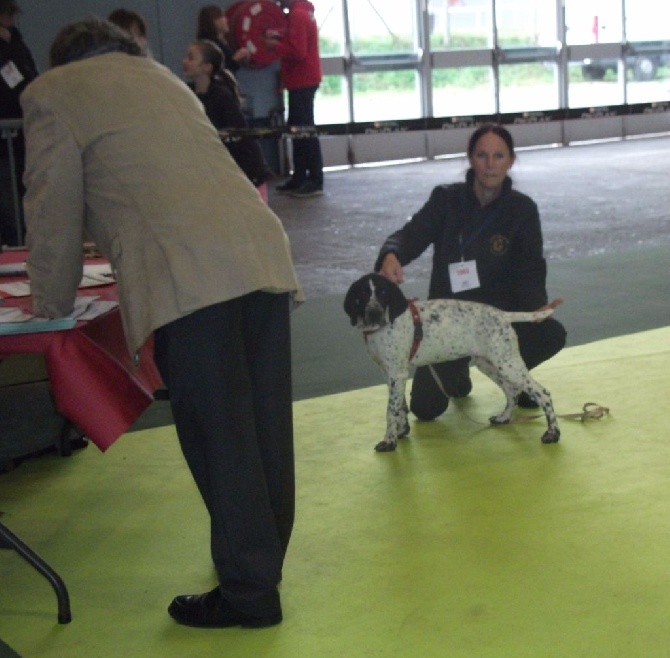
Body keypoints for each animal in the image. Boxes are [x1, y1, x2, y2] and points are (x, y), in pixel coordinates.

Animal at [346, 272, 560, 452]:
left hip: (507, 365)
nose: (374, 313)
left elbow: (390, 411)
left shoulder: (396, 374)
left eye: (383, 293)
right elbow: (399, 407)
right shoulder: (392, 375)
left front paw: (389, 442)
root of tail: (502, 314)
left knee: (543, 393)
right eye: (363, 293)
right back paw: (503, 417)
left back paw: (552, 433)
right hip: (489, 364)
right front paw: (400, 432)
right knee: (512, 392)